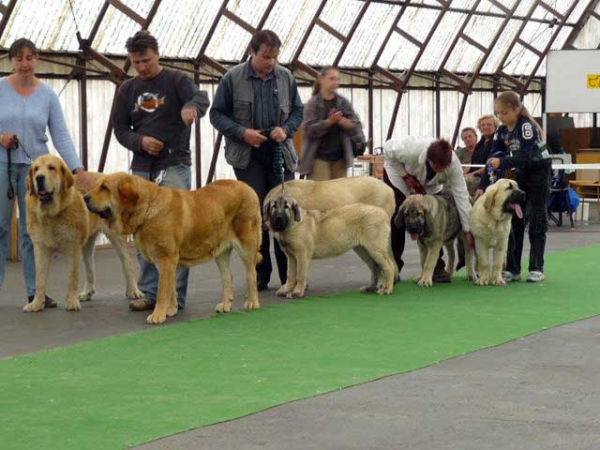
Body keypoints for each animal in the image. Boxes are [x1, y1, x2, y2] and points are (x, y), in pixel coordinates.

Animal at [23, 155, 142, 312]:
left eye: (51, 168)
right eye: (36, 169)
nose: (39, 178)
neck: (51, 214)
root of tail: (104, 177)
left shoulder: (73, 248)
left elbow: (72, 277)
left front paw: (72, 302)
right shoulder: (40, 248)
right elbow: (40, 279)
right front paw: (37, 303)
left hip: (115, 236)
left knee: (127, 262)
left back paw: (133, 290)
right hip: (87, 244)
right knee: (90, 266)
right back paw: (87, 292)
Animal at [83, 172, 262, 324]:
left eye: (105, 188)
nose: (84, 197)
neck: (147, 210)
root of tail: (248, 187)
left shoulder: (166, 259)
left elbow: (162, 290)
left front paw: (157, 315)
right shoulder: (166, 262)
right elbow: (171, 288)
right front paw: (171, 310)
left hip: (246, 245)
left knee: (251, 274)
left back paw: (252, 302)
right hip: (220, 251)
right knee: (227, 276)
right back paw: (225, 305)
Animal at [262, 193, 394, 298]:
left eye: (286, 207)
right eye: (274, 206)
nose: (278, 218)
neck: (292, 224)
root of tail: (383, 213)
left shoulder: (302, 255)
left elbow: (300, 275)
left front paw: (297, 292)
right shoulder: (291, 257)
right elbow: (290, 275)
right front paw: (286, 290)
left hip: (375, 248)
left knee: (389, 266)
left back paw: (387, 289)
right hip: (363, 250)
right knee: (375, 268)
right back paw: (370, 288)